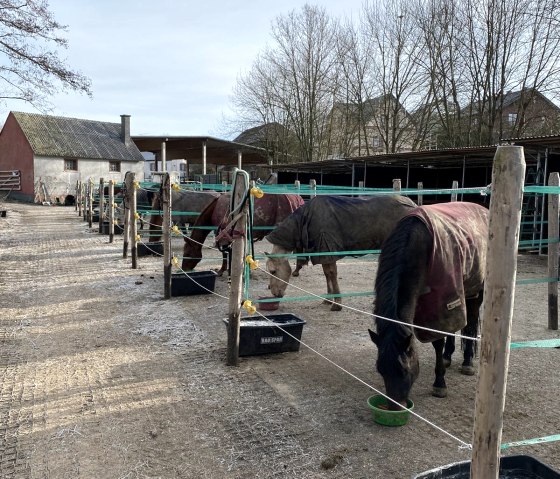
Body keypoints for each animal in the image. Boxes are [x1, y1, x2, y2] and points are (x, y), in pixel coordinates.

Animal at [264, 195, 418, 312]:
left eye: (273, 271)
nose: (274, 293)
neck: (304, 220)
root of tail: (413, 205)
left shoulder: (328, 249)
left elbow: (332, 274)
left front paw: (337, 303)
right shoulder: (323, 253)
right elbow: (327, 274)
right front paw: (328, 299)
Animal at [370, 202, 488, 408]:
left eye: (404, 370)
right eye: (381, 369)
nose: (395, 406)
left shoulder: (442, 302)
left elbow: (438, 340)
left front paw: (439, 384)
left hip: (476, 289)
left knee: (471, 322)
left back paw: (467, 362)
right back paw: (448, 357)